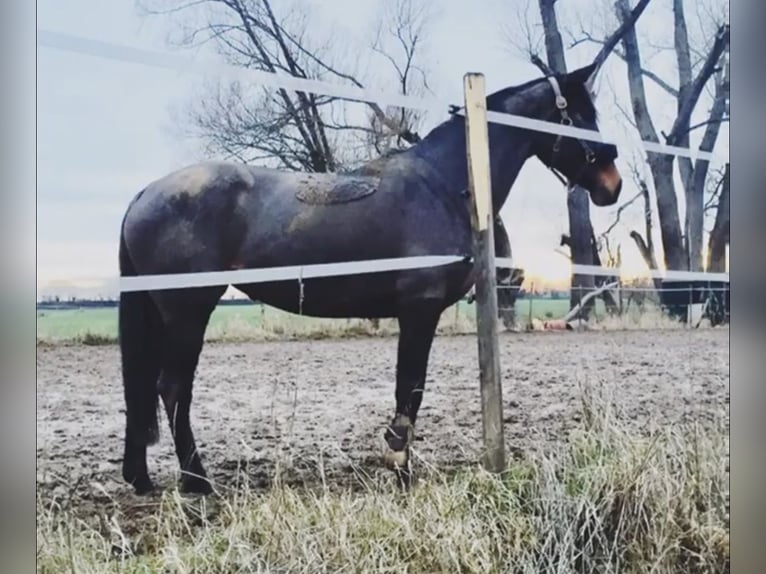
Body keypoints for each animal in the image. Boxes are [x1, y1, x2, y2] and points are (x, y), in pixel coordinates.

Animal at [118, 62, 624, 496]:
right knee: (172, 387)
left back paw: (145, 477)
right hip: (189, 310)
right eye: (581, 116)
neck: (446, 182)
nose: (612, 184)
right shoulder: (419, 310)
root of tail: (145, 194)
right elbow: (410, 386)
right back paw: (197, 480)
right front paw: (399, 463)